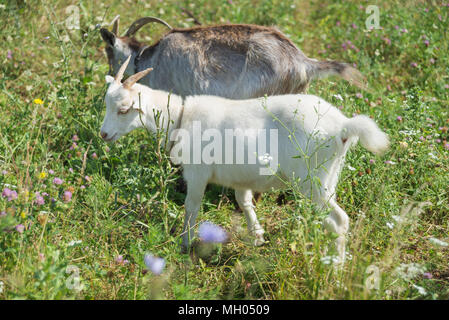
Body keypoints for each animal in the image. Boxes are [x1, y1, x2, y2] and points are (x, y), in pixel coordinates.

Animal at [101, 57, 388, 262]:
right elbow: (244, 201)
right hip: (330, 176)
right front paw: (258, 236)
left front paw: (185, 243)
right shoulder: (241, 176)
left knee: (339, 221)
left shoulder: (197, 173)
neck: (181, 116)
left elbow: (191, 207)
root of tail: (343, 126)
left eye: (124, 109)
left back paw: (335, 268)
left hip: (311, 179)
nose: (103, 134)